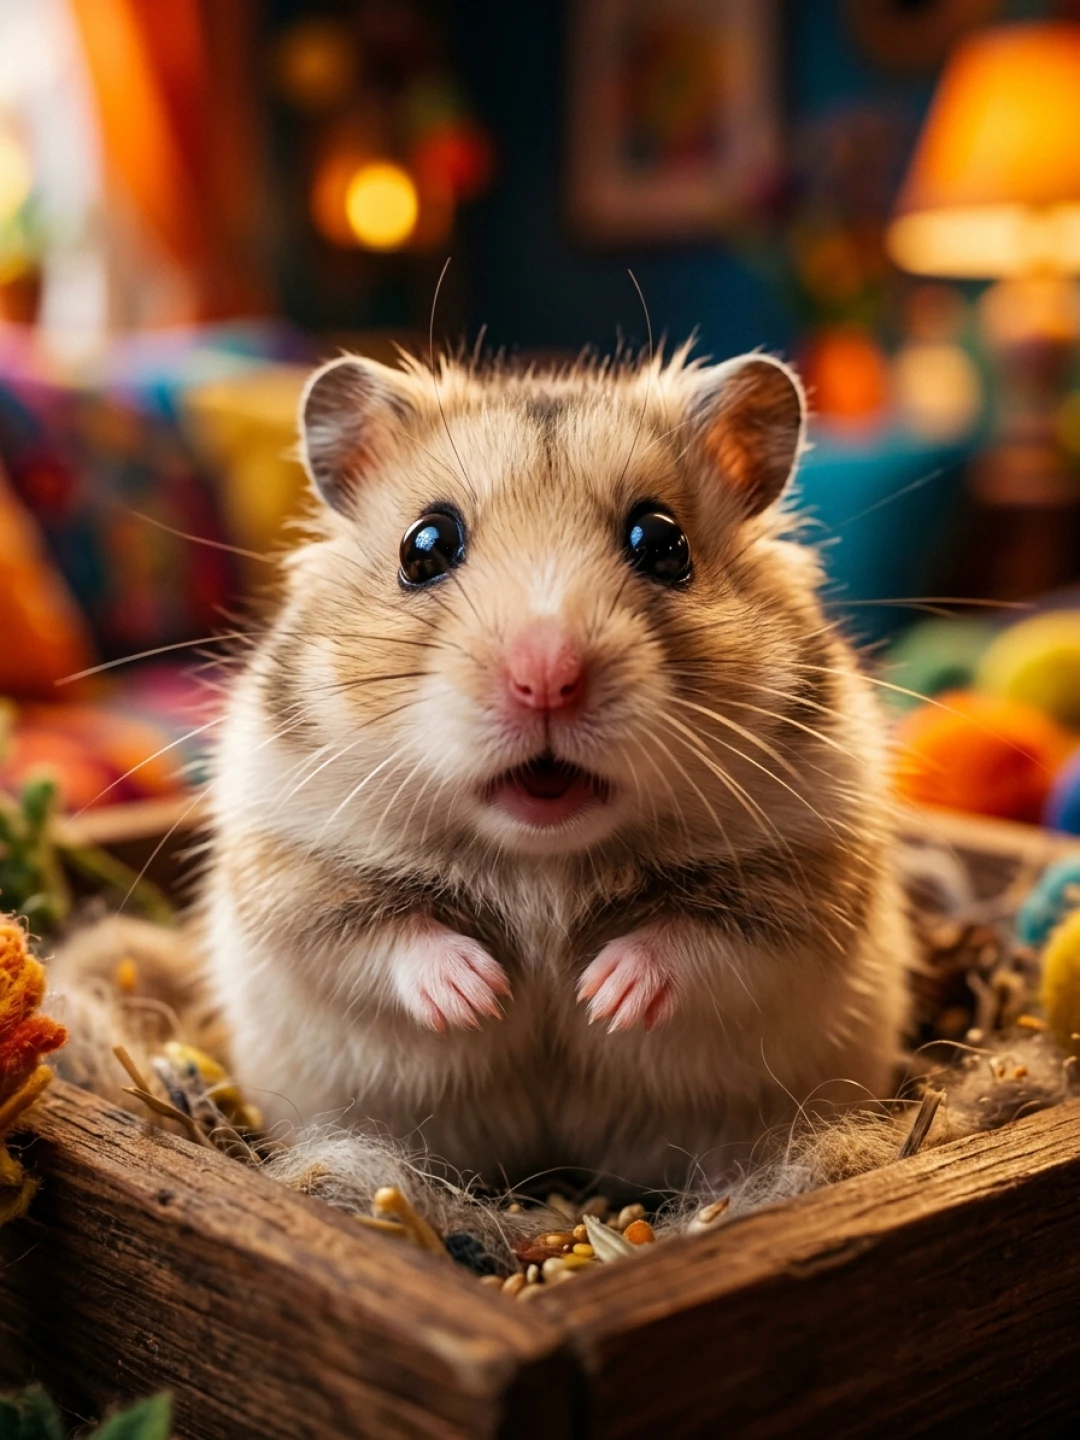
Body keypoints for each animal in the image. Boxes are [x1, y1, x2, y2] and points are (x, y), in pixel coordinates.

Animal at [202, 346, 913, 1190]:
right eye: (424, 546)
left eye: (662, 543)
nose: (546, 677)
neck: (544, 856)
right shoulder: (290, 871)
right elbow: (388, 935)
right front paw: (481, 997)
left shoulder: (803, 883)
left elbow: (694, 939)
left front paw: (600, 998)